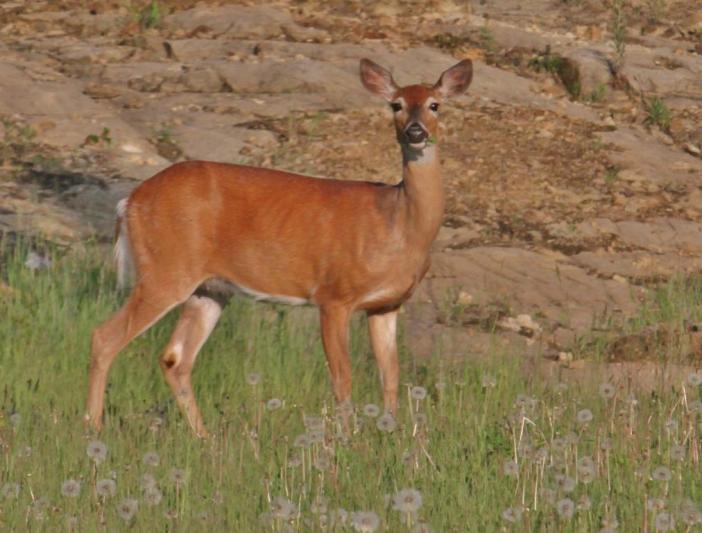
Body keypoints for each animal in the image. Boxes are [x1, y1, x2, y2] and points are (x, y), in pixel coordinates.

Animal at [85, 57, 473, 437]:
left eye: (435, 105)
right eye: (396, 105)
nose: (415, 132)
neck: (399, 224)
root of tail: (130, 202)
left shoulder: (386, 305)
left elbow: (390, 375)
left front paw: (390, 435)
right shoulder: (333, 294)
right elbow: (342, 377)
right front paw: (347, 441)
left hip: (209, 289)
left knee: (175, 357)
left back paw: (205, 438)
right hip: (166, 269)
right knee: (105, 336)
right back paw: (94, 427)